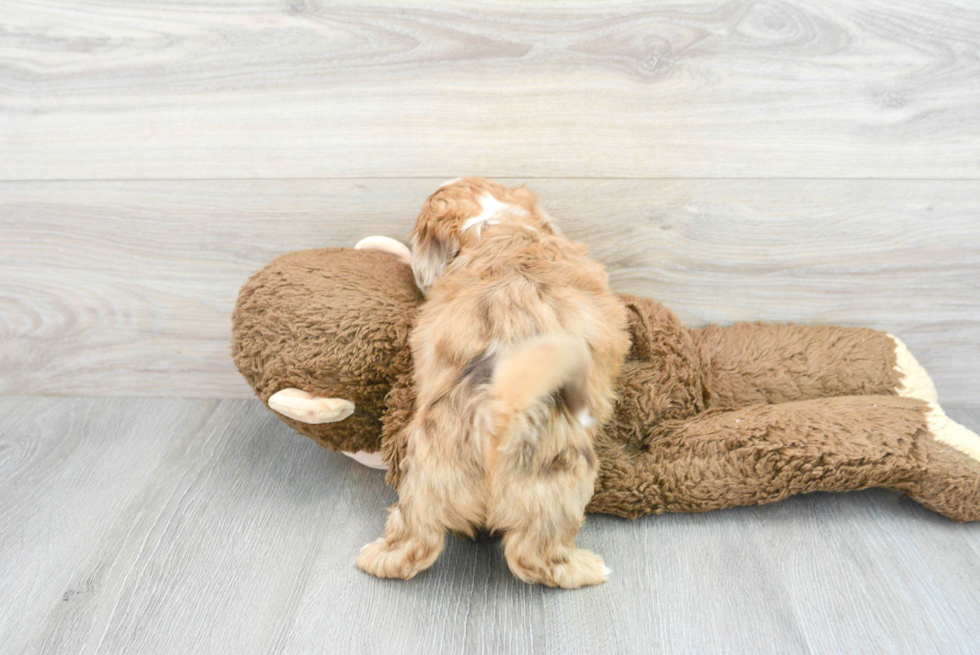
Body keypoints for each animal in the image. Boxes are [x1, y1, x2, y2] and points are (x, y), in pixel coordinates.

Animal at [354, 176, 628, 588]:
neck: (493, 226)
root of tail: (495, 415)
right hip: (557, 486)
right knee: (534, 556)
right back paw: (588, 568)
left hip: (425, 482)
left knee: (412, 542)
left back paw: (375, 557)